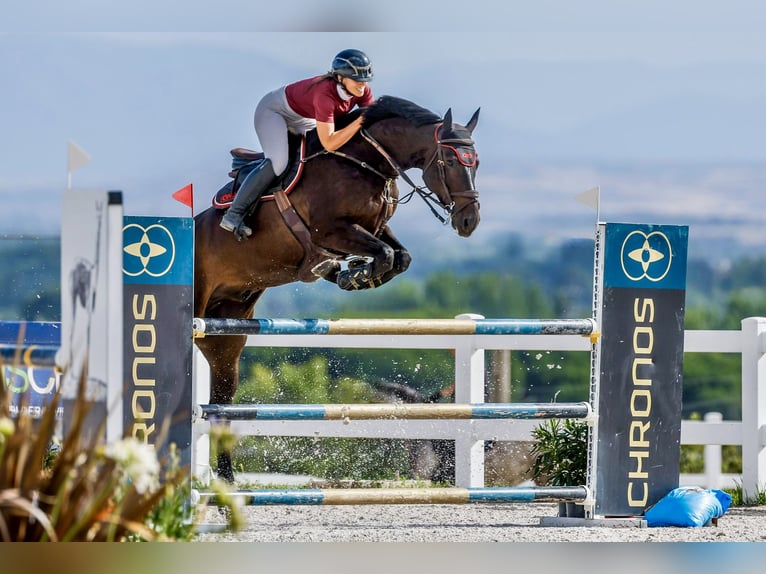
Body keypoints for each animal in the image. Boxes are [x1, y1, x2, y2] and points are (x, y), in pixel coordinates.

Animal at [193, 95, 481, 481]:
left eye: (476, 162)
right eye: (449, 160)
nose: (469, 221)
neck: (367, 162)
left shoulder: (374, 227)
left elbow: (399, 256)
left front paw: (356, 274)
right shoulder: (330, 230)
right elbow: (386, 253)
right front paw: (350, 273)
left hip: (226, 336)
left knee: (221, 405)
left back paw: (226, 478)